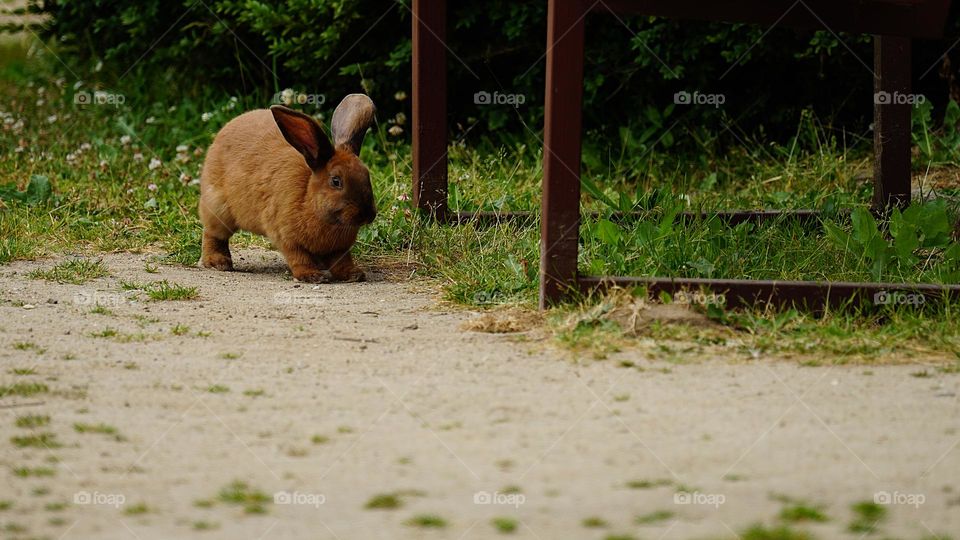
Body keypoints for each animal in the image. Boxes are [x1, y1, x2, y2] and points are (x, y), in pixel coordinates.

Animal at [199, 94, 377, 283]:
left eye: (366, 175)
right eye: (336, 181)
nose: (368, 215)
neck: (309, 200)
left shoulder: (339, 249)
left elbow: (342, 261)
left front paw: (353, 274)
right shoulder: (286, 237)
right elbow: (299, 258)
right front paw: (311, 276)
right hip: (218, 208)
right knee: (213, 234)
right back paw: (218, 262)